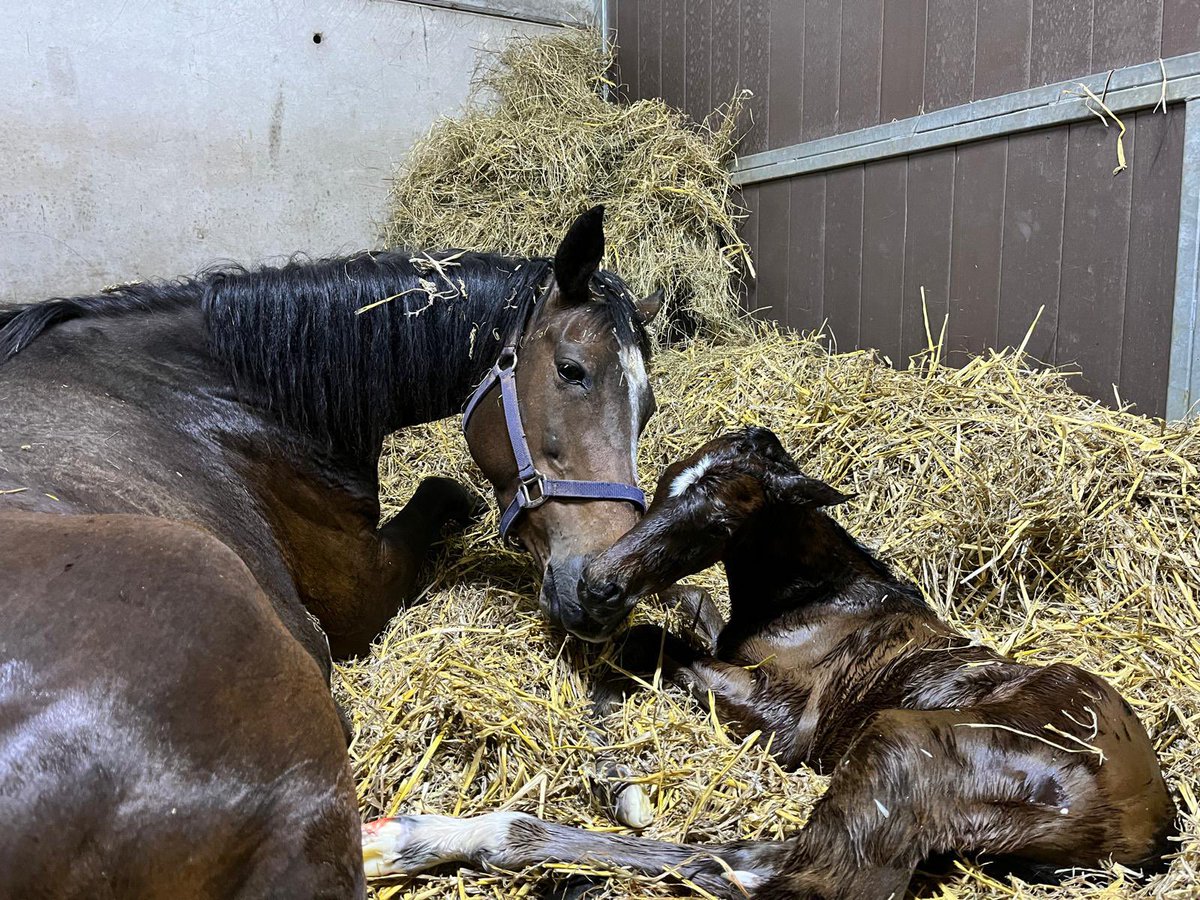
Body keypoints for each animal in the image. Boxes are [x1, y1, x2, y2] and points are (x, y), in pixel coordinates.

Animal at [360, 432, 1176, 900]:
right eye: (662, 485)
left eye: (721, 521)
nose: (598, 585)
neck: (818, 596)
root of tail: (1147, 833)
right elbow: (680, 619)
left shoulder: (795, 726)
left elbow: (651, 647)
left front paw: (614, 767)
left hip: (899, 741)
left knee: (764, 874)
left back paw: (441, 836)